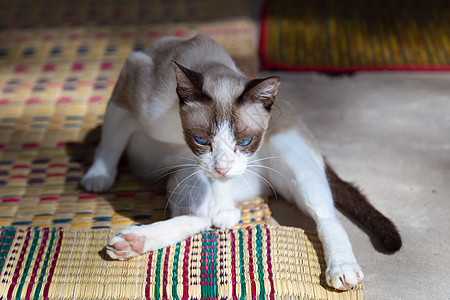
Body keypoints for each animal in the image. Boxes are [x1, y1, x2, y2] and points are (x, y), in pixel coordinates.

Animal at [80, 33, 400, 290]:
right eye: (201, 140)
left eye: (245, 142)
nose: (222, 167)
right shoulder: (128, 94)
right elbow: (109, 145)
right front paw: (98, 179)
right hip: (185, 176)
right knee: (200, 217)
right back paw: (133, 242)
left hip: (293, 169)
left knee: (327, 217)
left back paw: (341, 269)